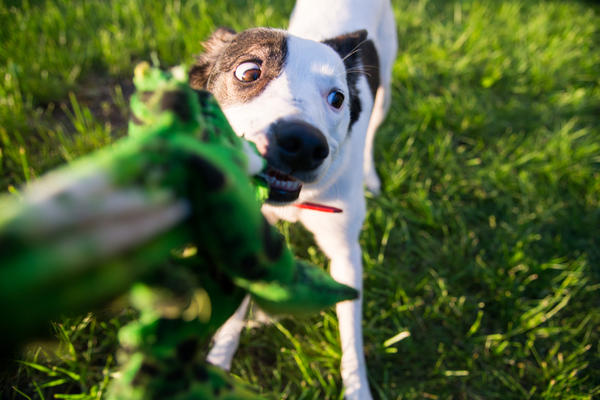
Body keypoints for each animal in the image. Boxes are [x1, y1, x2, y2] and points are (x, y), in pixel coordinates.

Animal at [191, 1, 398, 398]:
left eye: (337, 98)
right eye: (249, 71)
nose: (303, 143)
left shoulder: (346, 255)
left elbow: (351, 337)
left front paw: (356, 388)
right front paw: (219, 358)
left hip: (386, 95)